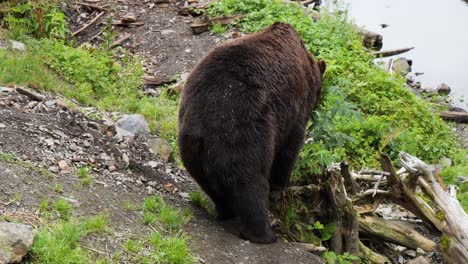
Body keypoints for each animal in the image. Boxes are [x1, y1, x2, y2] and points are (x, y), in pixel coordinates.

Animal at [178, 22, 326, 243]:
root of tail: (201, 126)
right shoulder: (295, 107)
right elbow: (290, 148)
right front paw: (281, 186)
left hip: (192, 150)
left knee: (211, 185)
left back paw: (225, 213)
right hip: (245, 128)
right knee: (250, 181)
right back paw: (265, 234)